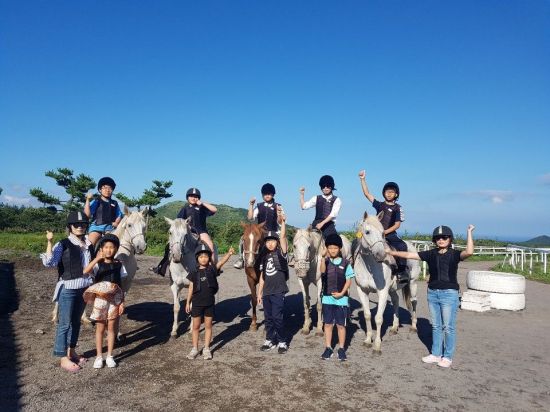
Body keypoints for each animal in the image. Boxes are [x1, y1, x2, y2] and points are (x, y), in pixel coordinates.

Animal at [353, 212, 420, 353]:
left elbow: (378, 318)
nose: (381, 255)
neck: (370, 267)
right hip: (392, 289)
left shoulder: (382, 292)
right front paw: (368, 340)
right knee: (395, 301)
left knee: (414, 302)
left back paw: (413, 326)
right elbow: (367, 315)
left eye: (383, 233)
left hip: (413, 283)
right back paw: (394, 327)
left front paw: (377, 345)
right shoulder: (362, 290)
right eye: (367, 232)